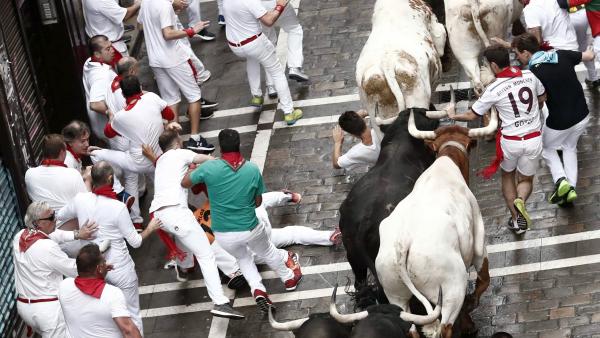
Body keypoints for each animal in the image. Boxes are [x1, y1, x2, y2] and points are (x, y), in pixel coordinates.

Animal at [376, 107, 496, 336]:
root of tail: (402, 244)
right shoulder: (479, 244)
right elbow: (483, 281)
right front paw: (471, 309)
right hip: (452, 289)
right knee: (445, 326)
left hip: (395, 294)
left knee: (411, 328)